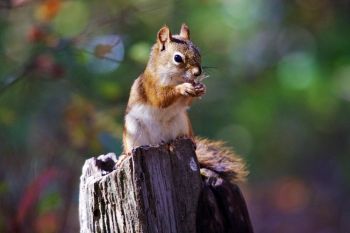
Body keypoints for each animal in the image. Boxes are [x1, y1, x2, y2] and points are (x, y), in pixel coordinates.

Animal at [121, 24, 247, 183]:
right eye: (177, 58)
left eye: (199, 52)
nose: (198, 73)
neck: (175, 78)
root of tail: (159, 142)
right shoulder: (150, 86)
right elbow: (161, 98)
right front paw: (183, 88)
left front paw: (201, 88)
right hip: (133, 129)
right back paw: (125, 155)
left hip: (182, 122)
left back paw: (185, 139)